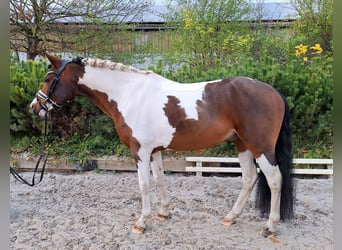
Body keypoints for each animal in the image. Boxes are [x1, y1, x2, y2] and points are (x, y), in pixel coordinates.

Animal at [30, 54, 294, 240]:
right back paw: (231, 217)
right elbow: (159, 180)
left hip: (260, 147)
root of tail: (275, 93)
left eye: (48, 79)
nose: (34, 107)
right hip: (243, 145)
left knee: (274, 179)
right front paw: (163, 213)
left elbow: (144, 184)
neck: (129, 94)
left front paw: (141, 222)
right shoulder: (154, 150)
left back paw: (270, 226)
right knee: (249, 178)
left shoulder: (140, 151)